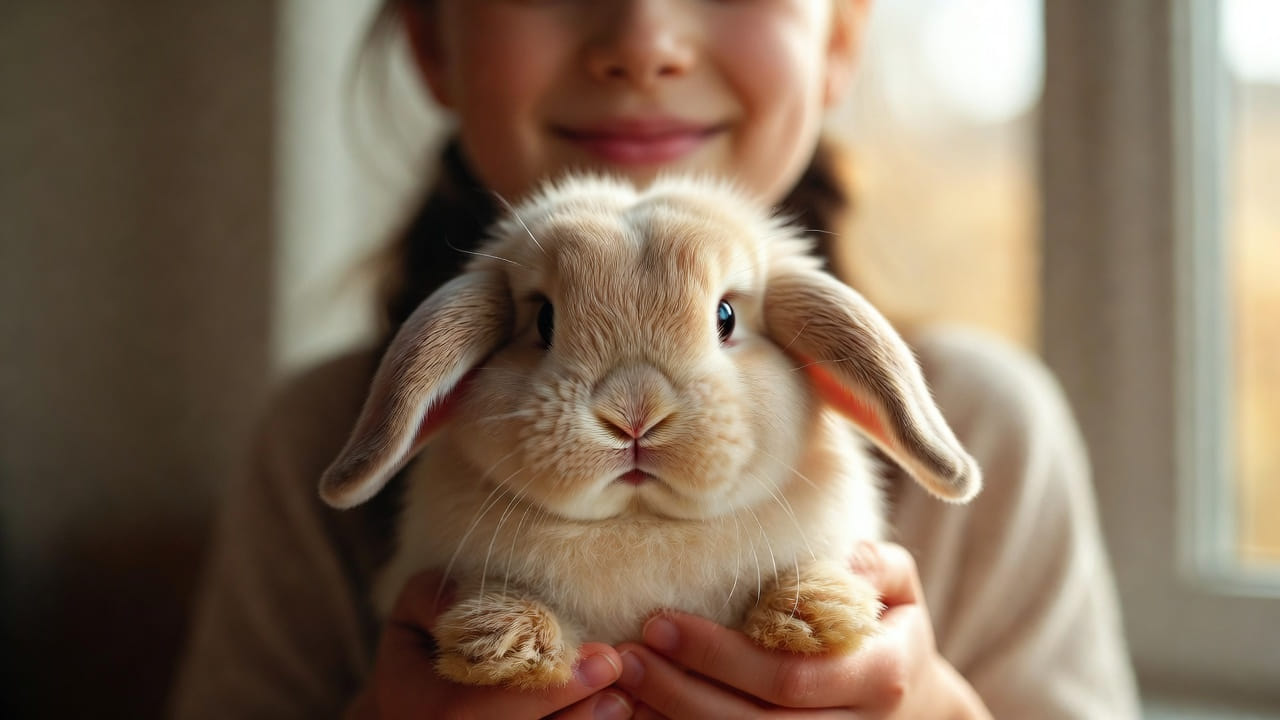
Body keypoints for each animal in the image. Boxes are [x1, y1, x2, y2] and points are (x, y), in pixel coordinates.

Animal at [319, 173, 982, 690]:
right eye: (544, 320)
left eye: (726, 316)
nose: (634, 416)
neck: (639, 525)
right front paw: (501, 642)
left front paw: (816, 614)